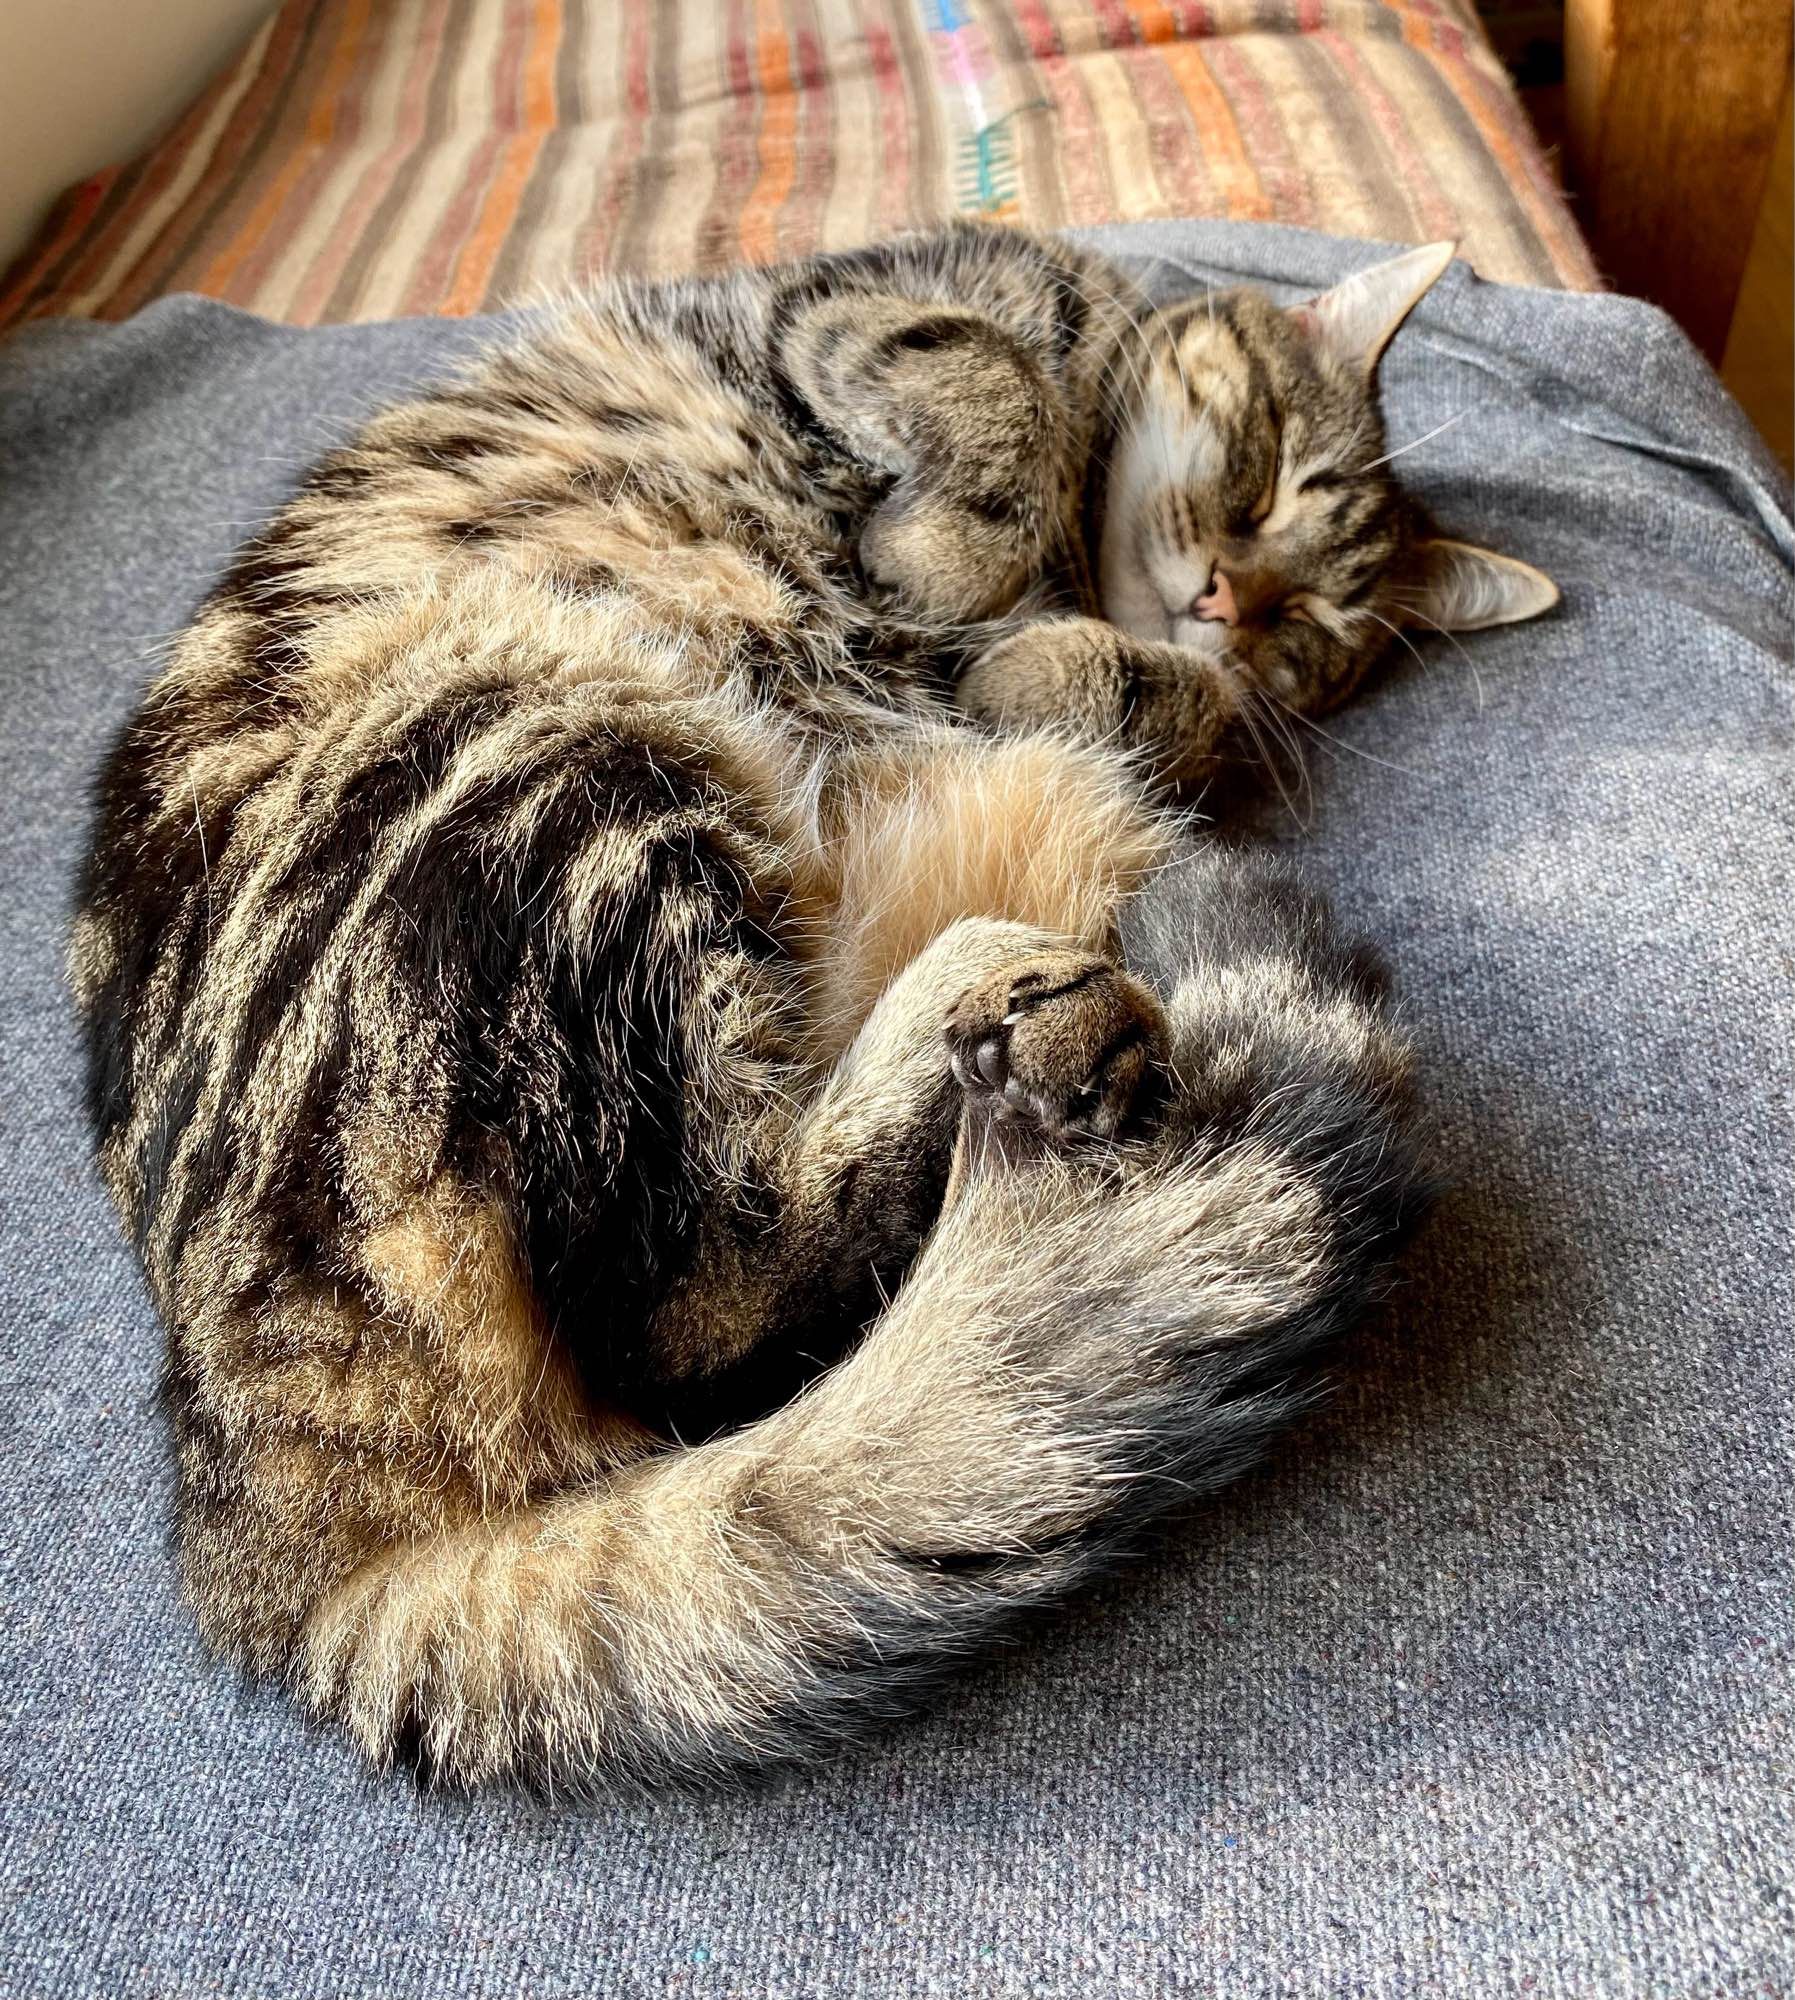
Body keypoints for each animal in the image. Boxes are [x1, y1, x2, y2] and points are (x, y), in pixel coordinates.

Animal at [73, 227, 1551, 1792]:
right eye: (1263, 472)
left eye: (1317, 625)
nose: (1226, 601)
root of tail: (261, 1504)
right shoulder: (858, 304)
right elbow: (992, 384)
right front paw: (968, 562)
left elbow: (1178, 699)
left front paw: (1083, 658)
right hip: (543, 731)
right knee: (704, 1289)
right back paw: (991, 982)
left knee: (727, 1282)